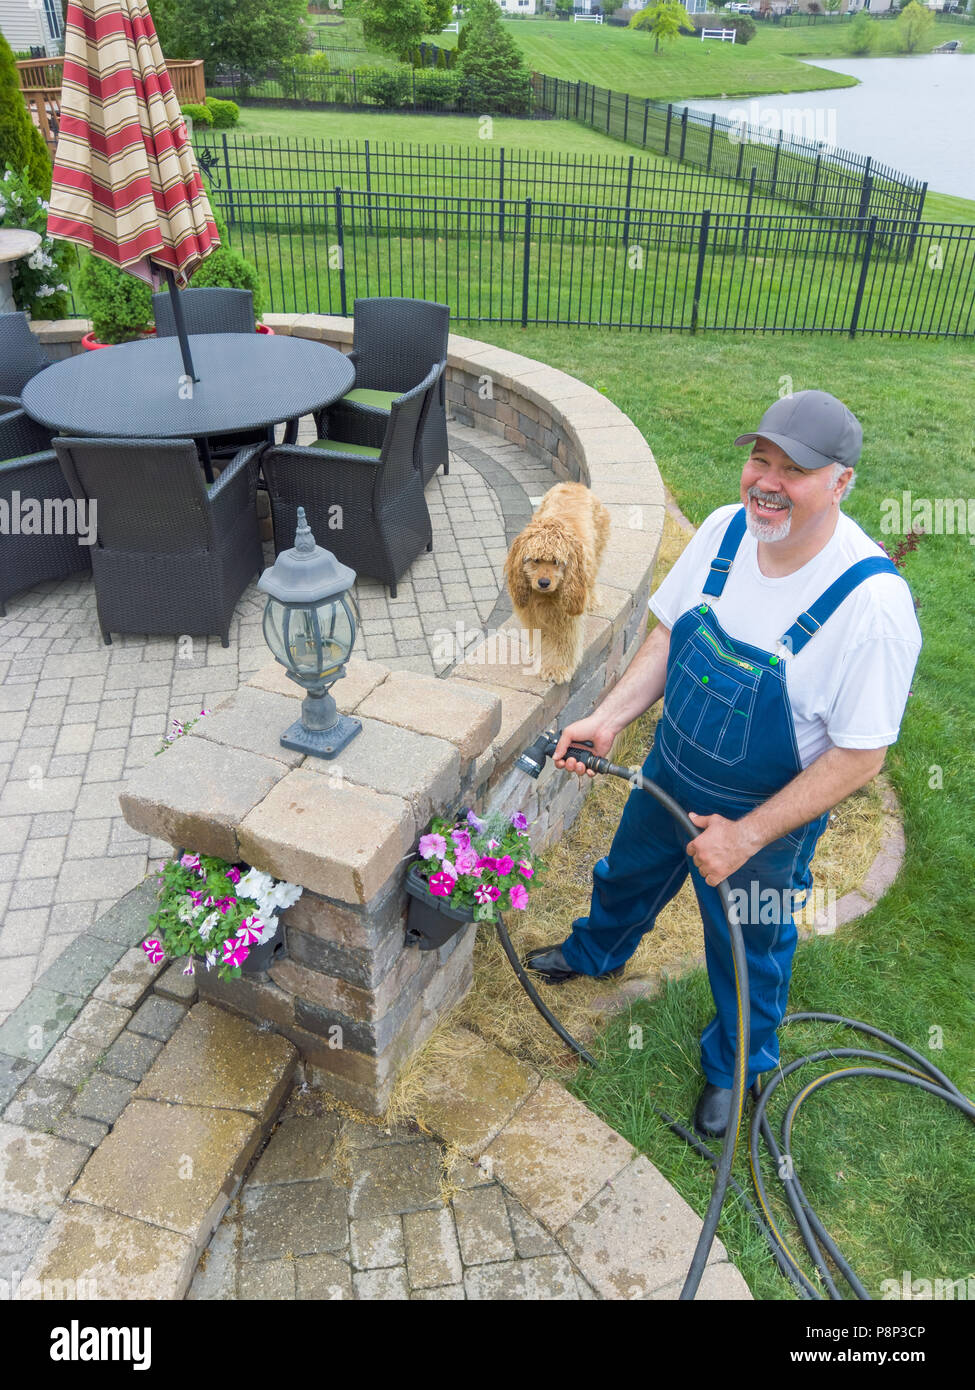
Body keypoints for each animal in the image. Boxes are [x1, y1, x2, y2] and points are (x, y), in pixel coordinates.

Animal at [500, 483, 609, 689]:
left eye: (556, 562)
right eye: (535, 560)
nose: (543, 583)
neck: (547, 596)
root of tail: (574, 484)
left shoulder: (565, 618)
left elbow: (561, 642)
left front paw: (555, 669)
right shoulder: (533, 614)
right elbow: (539, 636)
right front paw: (537, 653)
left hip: (598, 549)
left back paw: (592, 600)